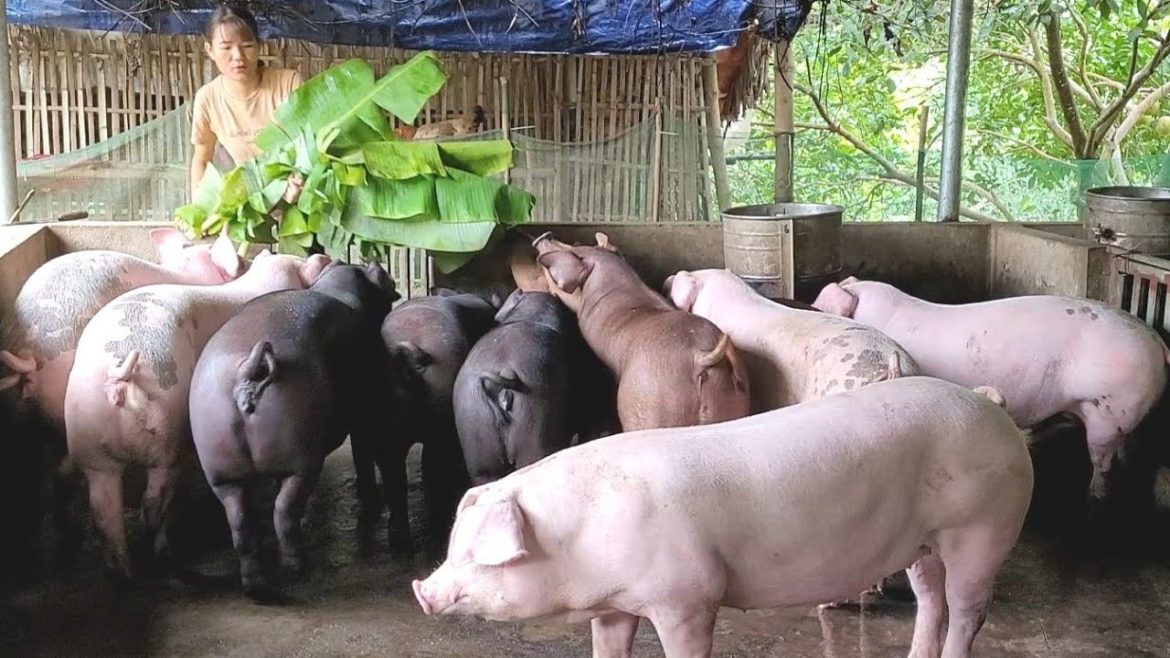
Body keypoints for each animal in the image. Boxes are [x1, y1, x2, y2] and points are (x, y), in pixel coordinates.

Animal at [64, 250, 331, 581]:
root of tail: (118, 378)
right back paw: (162, 556)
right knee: (152, 502)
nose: (321, 256)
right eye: (297, 261)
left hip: (89, 444)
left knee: (104, 511)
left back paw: (126, 573)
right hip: (166, 438)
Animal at [188, 262, 399, 598]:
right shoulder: (363, 416)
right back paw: (298, 570)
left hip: (222, 474)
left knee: (241, 525)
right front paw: (371, 496)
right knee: (284, 513)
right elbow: (362, 454)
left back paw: (256, 587)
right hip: (301, 463)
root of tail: (248, 369)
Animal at [380, 292, 499, 545]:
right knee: (430, 466)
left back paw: (400, 538)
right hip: (440, 420)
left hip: (385, 426)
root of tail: (407, 348)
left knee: (395, 474)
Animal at [413, 376, 1034, 658]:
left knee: (967, 608)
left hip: (984, 526)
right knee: (931, 598)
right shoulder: (614, 605)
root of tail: (988, 407)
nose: (422, 589)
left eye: (478, 555)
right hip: (922, 542)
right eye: (453, 546)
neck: (583, 541)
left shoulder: (688, 596)